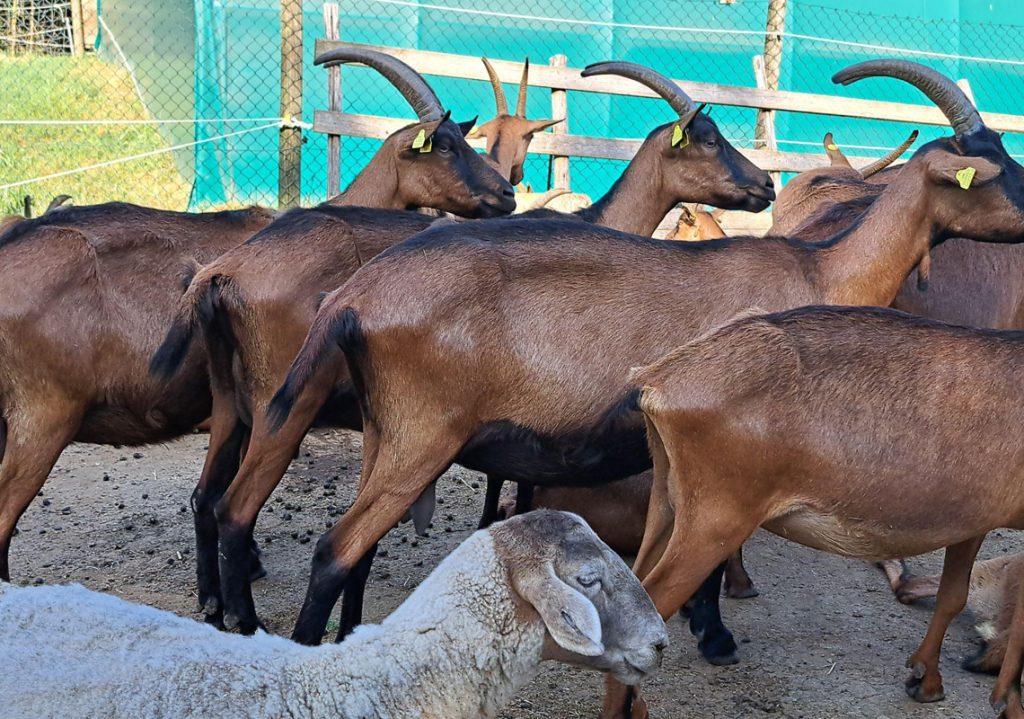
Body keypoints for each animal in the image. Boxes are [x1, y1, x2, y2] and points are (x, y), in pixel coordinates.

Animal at [164, 59, 775, 637]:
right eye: (711, 139)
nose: (766, 185)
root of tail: (221, 273)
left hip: (234, 402)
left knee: (207, 498)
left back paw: (215, 605)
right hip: (287, 405)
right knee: (240, 508)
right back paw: (246, 618)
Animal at [268, 61, 1024, 665]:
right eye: (989, 173)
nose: (763, 187)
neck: (823, 269)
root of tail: (358, 293)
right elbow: (714, 555)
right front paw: (715, 634)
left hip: (385, 431)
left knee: (358, 549)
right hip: (423, 434)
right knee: (336, 548)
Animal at [622, 305, 1024, 717]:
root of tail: (655, 378)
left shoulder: (971, 522)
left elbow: (953, 596)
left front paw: (926, 680)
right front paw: (1004, 699)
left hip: (668, 501)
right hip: (715, 519)